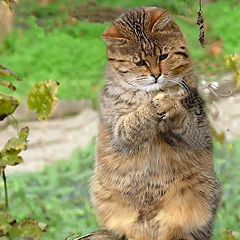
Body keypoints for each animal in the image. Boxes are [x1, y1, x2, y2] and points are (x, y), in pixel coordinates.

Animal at [85, 6, 220, 240]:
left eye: (163, 56)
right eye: (139, 62)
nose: (156, 75)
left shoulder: (199, 131)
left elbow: (183, 118)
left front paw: (170, 103)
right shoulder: (117, 132)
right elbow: (134, 119)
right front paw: (152, 105)